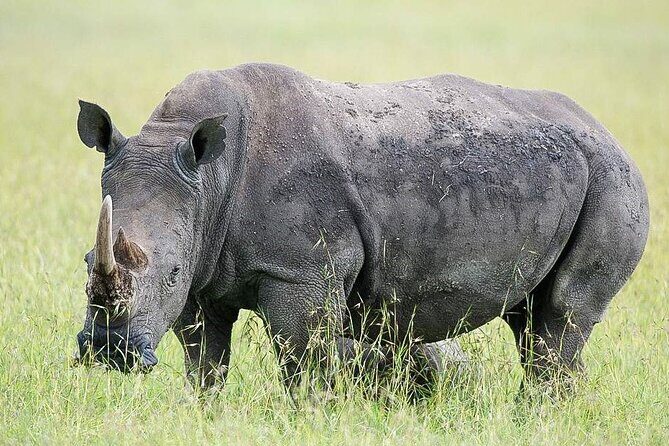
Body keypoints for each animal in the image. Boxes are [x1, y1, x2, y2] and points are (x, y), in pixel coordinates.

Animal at [74, 63, 648, 391]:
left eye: (170, 271)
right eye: (84, 262)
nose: (109, 351)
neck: (208, 177)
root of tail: (608, 133)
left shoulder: (301, 272)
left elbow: (302, 363)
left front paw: (305, 419)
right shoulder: (203, 264)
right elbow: (205, 362)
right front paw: (205, 413)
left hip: (615, 182)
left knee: (562, 317)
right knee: (530, 320)